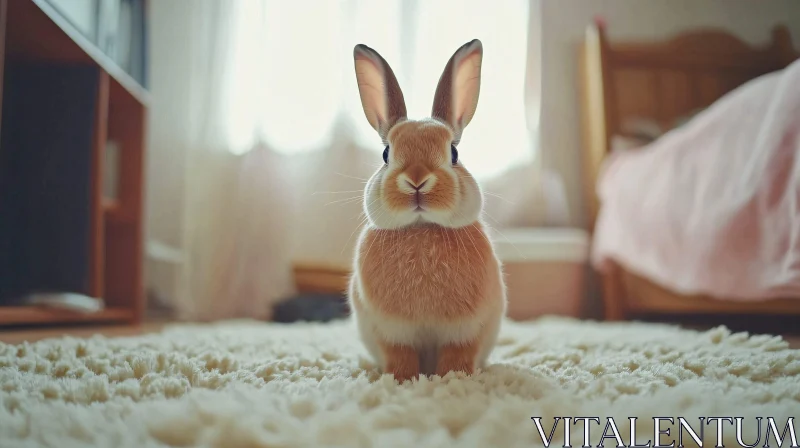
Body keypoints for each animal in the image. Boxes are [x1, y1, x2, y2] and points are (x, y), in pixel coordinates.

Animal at [348, 39, 506, 382]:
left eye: (454, 153)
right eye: (386, 154)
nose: (417, 180)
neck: (421, 227)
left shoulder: (465, 331)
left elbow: (458, 357)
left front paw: (453, 379)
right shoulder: (392, 333)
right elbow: (400, 358)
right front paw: (402, 381)